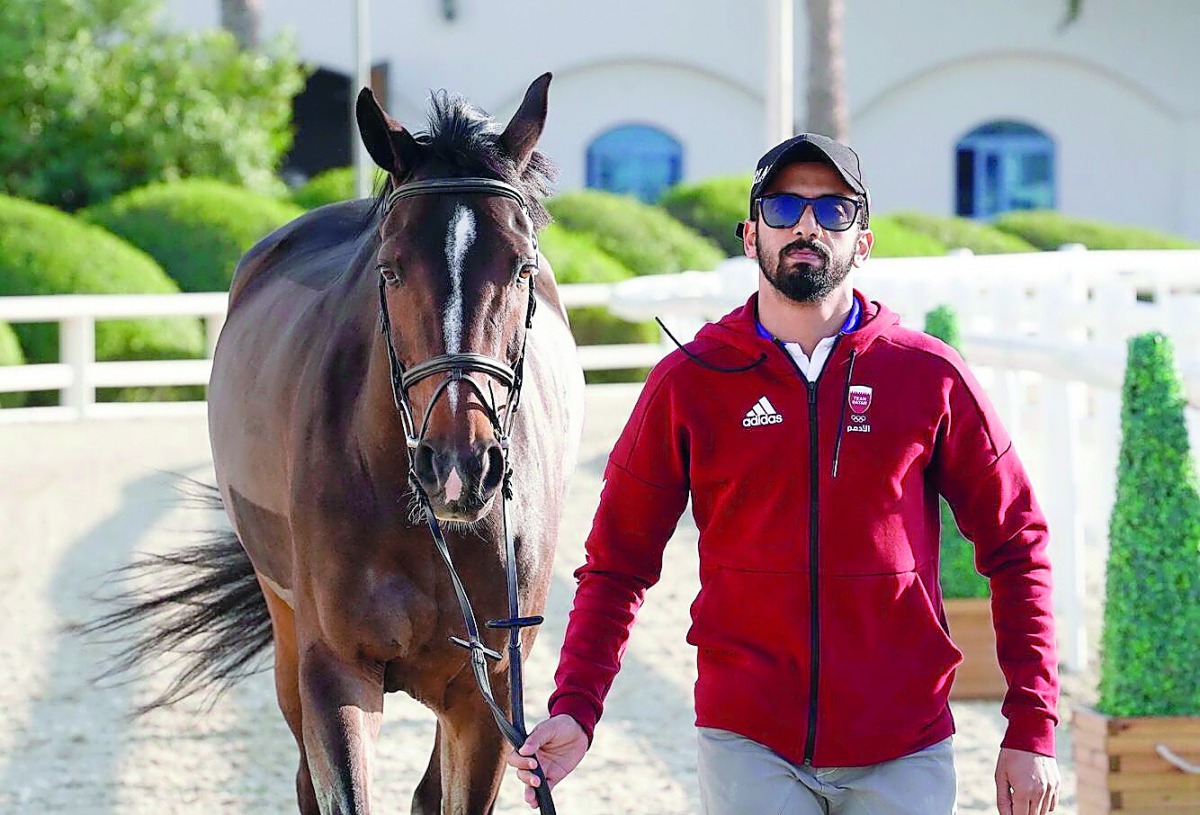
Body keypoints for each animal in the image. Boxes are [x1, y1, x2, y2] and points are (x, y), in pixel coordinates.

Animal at [90, 73, 585, 814]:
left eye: (523, 267)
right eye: (392, 268)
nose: (459, 468)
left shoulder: (489, 688)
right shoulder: (335, 670)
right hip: (286, 625)